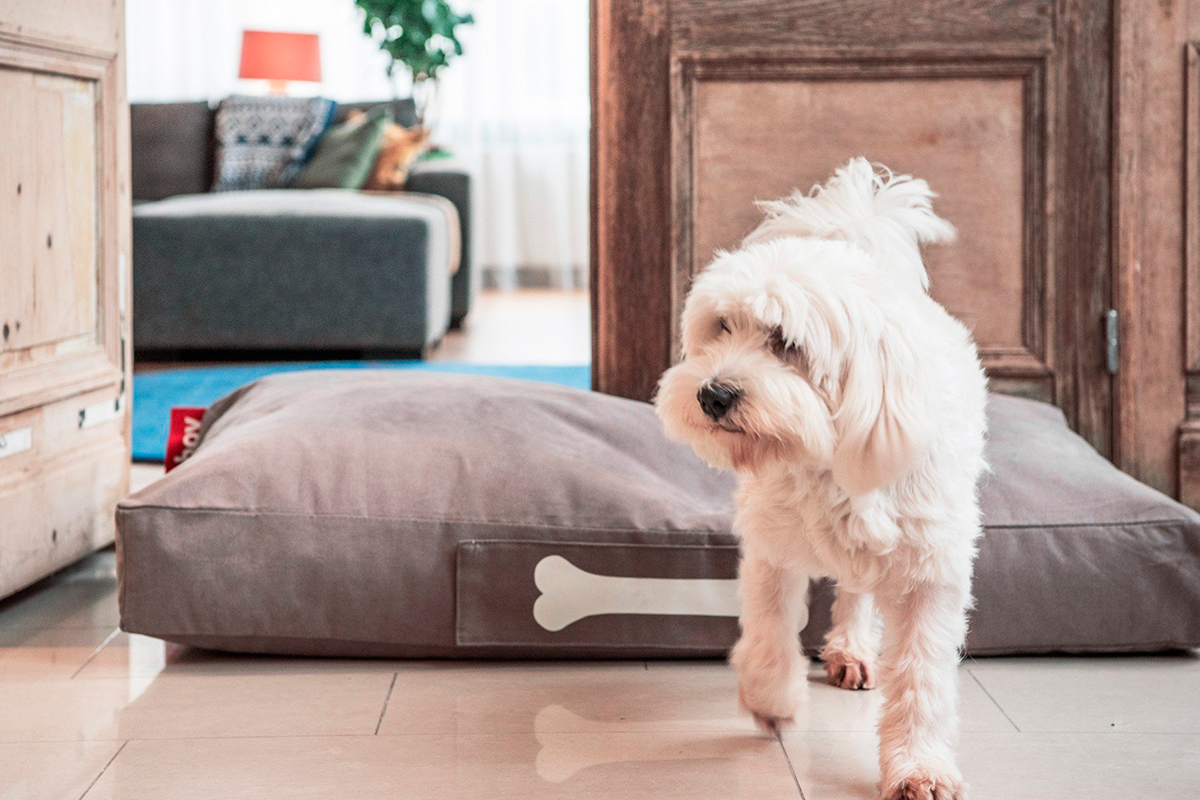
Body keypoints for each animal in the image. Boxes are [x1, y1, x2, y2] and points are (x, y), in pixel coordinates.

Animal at [657, 158, 984, 800]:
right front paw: (770, 699)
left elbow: (923, 676)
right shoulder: (770, 544)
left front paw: (918, 766)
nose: (712, 394)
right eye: (722, 327)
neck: (828, 457)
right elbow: (769, 626)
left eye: (786, 342)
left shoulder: (931, 571)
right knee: (851, 592)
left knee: (859, 594)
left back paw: (854, 650)